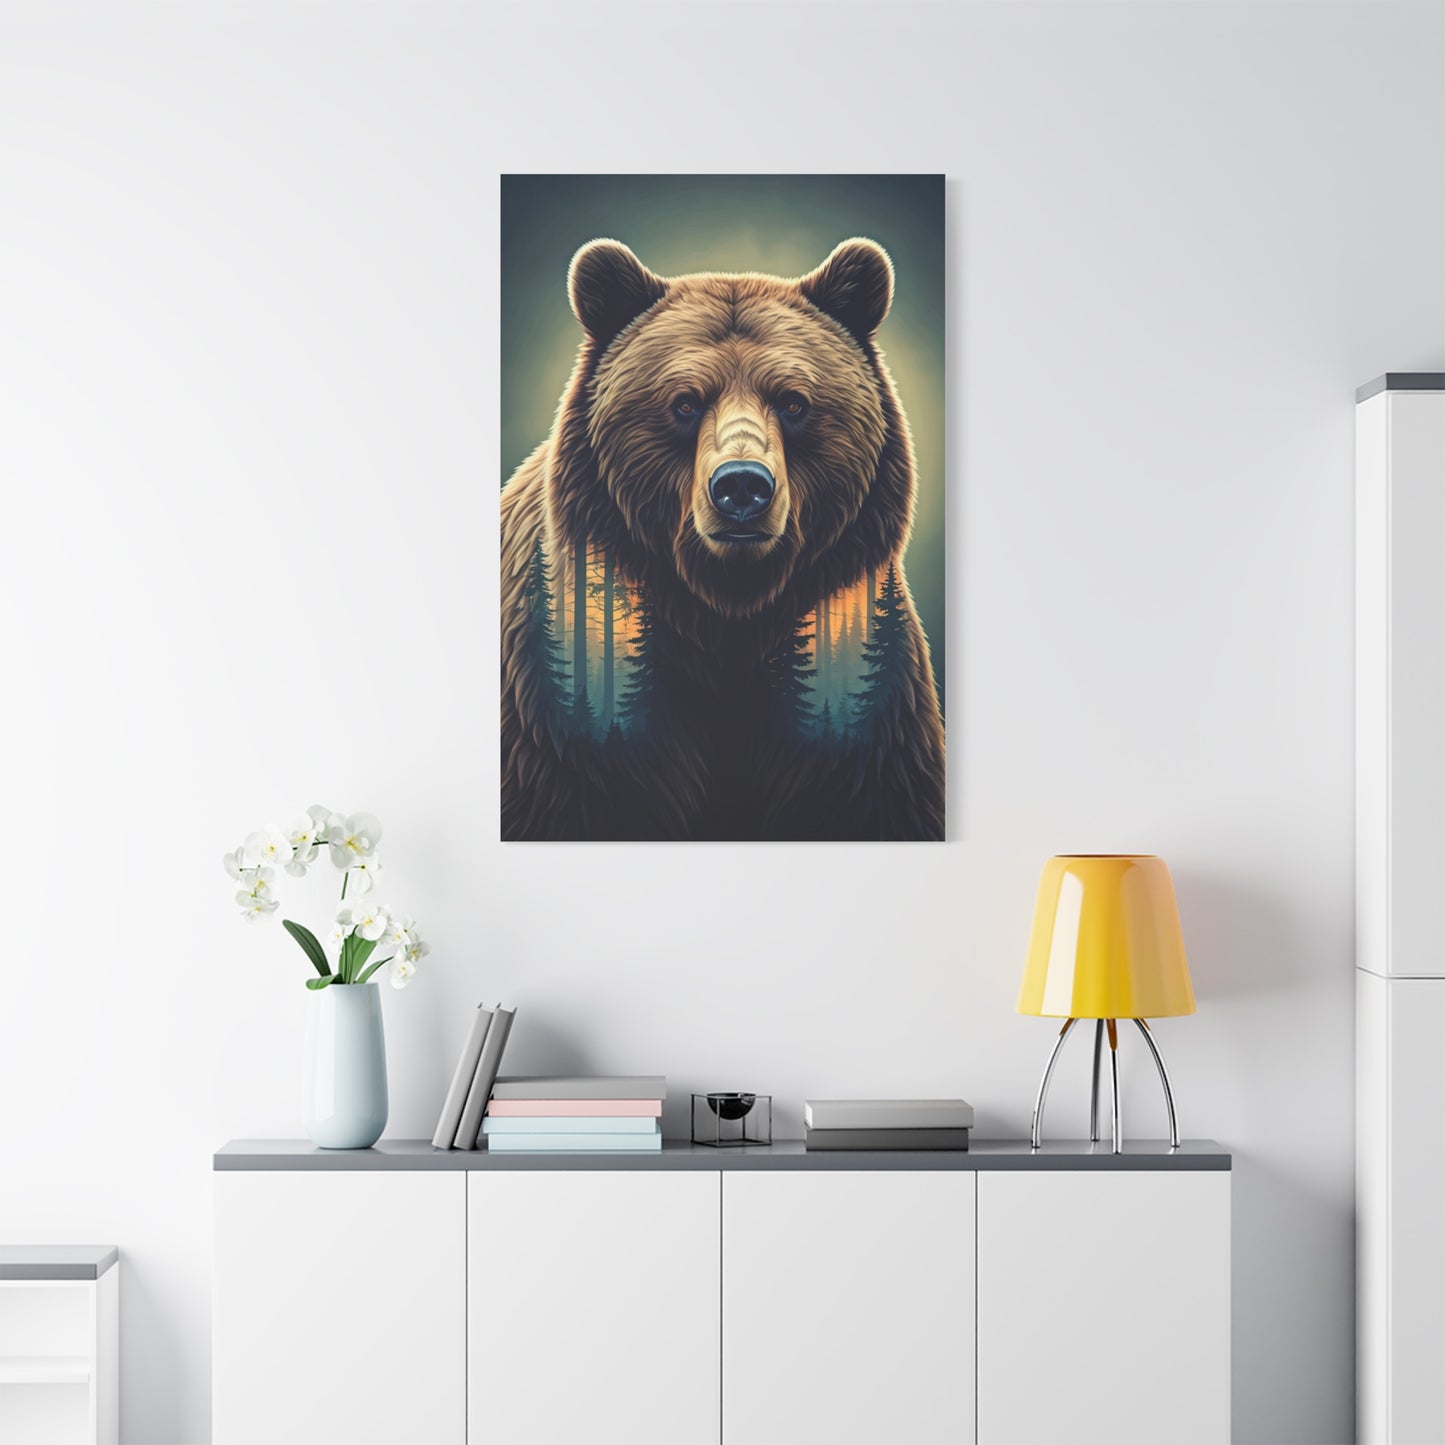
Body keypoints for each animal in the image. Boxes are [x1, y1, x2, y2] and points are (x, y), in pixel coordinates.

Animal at [500, 237, 945, 841]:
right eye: (685, 402)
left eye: (794, 401)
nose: (741, 486)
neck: (725, 621)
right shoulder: (560, 713)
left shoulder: (864, 713)